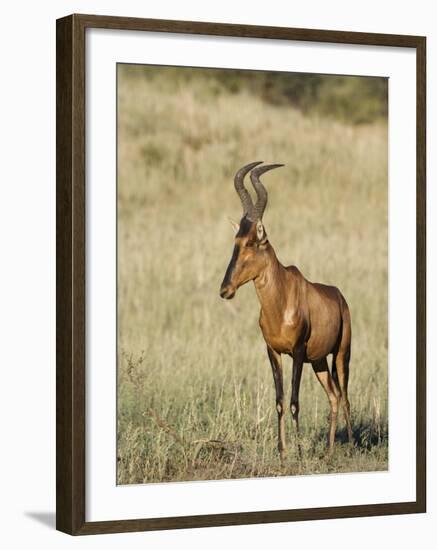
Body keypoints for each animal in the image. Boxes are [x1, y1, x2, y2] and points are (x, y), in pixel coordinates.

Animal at [220, 162, 352, 464]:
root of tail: (339, 296)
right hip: (319, 362)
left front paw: (300, 454)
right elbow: (280, 401)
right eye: (236, 239)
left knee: (346, 395)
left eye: (251, 242)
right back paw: (329, 452)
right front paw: (282, 454)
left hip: (341, 354)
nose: (225, 289)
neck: (280, 301)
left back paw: (351, 447)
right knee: (333, 396)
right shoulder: (273, 352)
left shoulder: (298, 352)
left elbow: (294, 401)